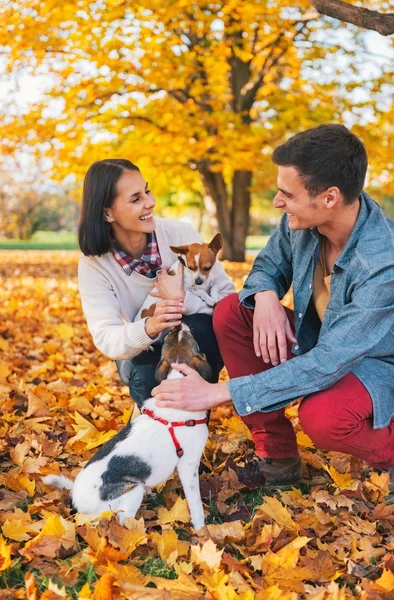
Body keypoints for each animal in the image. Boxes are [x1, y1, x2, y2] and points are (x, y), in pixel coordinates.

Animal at [42, 324, 212, 528]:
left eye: (171, 337)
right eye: (185, 336)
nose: (178, 325)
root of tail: (75, 502)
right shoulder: (188, 465)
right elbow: (196, 505)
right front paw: (201, 530)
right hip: (131, 491)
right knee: (124, 522)